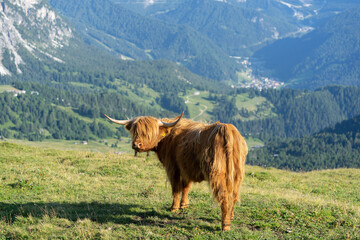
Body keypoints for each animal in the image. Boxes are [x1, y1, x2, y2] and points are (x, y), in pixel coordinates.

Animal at [104, 112, 248, 231]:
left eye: (150, 133)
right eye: (135, 131)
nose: (136, 145)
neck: (167, 138)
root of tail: (226, 128)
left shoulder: (173, 167)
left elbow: (176, 188)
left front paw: (174, 208)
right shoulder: (186, 168)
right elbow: (186, 187)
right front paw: (184, 205)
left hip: (217, 172)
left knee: (224, 195)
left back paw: (225, 225)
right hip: (237, 173)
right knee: (234, 194)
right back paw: (231, 216)